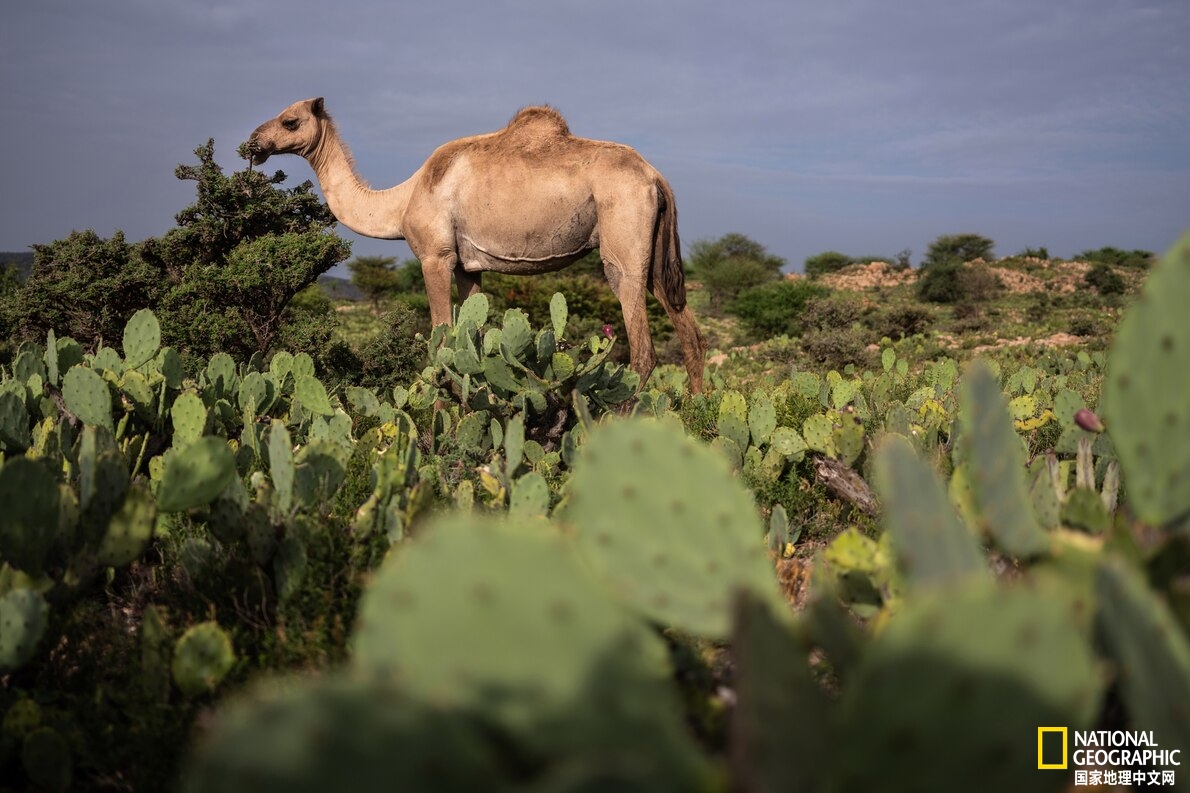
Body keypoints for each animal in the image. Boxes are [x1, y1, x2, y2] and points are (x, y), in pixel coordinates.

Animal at [245, 98, 699, 392]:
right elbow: (472, 340)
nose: (253, 142)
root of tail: (655, 177)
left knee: (642, 350)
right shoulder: (469, 267)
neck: (402, 200)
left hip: (623, 236)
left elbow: (441, 341)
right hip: (654, 252)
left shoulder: (436, 256)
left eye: (290, 121)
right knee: (689, 331)